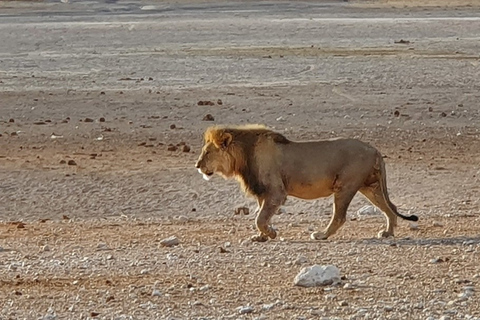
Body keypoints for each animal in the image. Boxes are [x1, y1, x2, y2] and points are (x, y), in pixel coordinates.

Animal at [194, 125, 416, 242]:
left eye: (207, 152)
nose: (197, 165)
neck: (243, 156)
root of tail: (374, 149)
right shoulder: (263, 193)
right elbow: (262, 217)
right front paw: (262, 237)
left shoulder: (276, 192)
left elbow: (260, 218)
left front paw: (271, 233)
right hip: (370, 186)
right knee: (391, 208)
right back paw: (388, 232)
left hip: (346, 186)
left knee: (340, 216)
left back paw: (322, 235)